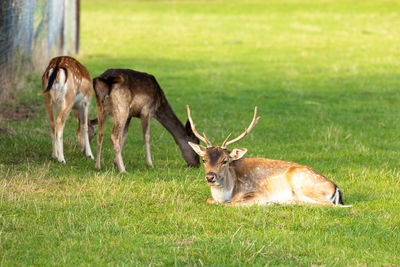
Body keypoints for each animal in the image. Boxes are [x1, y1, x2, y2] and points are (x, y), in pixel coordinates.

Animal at [186, 105, 348, 208]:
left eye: (225, 160)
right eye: (204, 159)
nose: (210, 177)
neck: (228, 191)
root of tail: (336, 188)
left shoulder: (257, 193)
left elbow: (231, 204)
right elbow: (209, 200)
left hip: (303, 183)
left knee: (329, 205)